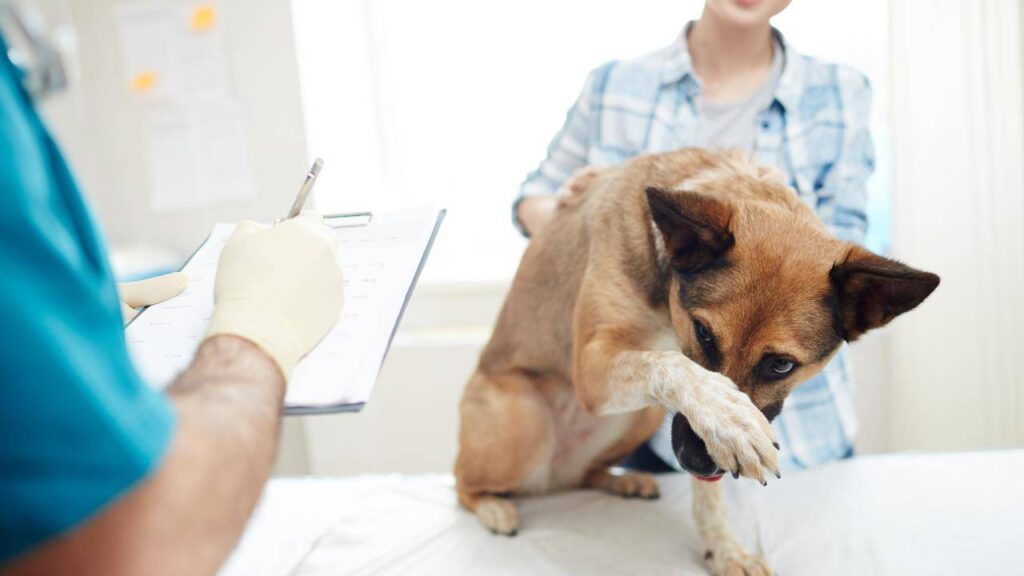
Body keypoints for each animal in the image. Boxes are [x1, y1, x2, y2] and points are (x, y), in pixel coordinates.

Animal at [452, 148, 937, 573]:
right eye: (703, 333)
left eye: (781, 365)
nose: (696, 463)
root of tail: (551, 478)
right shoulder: (592, 367)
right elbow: (671, 365)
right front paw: (728, 419)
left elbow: (710, 498)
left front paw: (725, 550)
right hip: (525, 419)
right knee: (461, 483)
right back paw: (494, 507)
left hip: (639, 417)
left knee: (583, 474)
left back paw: (619, 479)